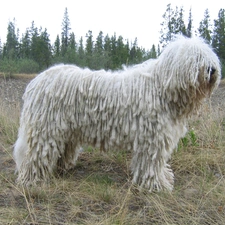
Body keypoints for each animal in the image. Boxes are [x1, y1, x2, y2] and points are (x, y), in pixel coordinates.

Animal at [13, 37, 221, 192]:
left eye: (209, 56)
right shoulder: (152, 138)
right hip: (45, 129)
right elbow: (152, 164)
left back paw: (61, 168)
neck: (160, 87)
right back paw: (33, 180)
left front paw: (164, 178)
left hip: (65, 130)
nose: (211, 70)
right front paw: (156, 185)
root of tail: (37, 81)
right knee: (34, 156)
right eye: (195, 58)